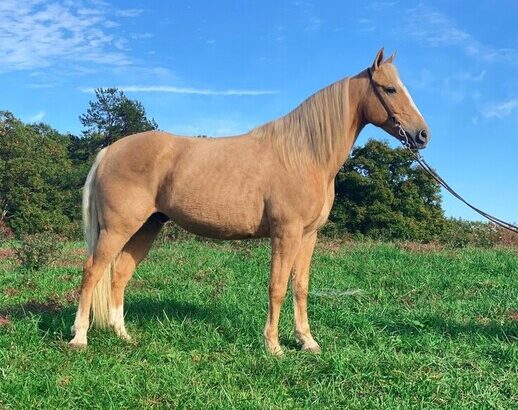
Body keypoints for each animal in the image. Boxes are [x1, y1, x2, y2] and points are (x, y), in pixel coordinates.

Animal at [71, 48, 432, 356]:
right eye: (389, 89)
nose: (423, 135)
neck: (304, 155)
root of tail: (109, 151)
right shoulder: (285, 233)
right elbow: (277, 286)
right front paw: (273, 346)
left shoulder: (308, 236)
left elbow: (300, 287)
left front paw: (307, 342)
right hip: (118, 228)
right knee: (92, 271)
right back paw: (80, 338)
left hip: (146, 227)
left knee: (119, 274)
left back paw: (123, 335)